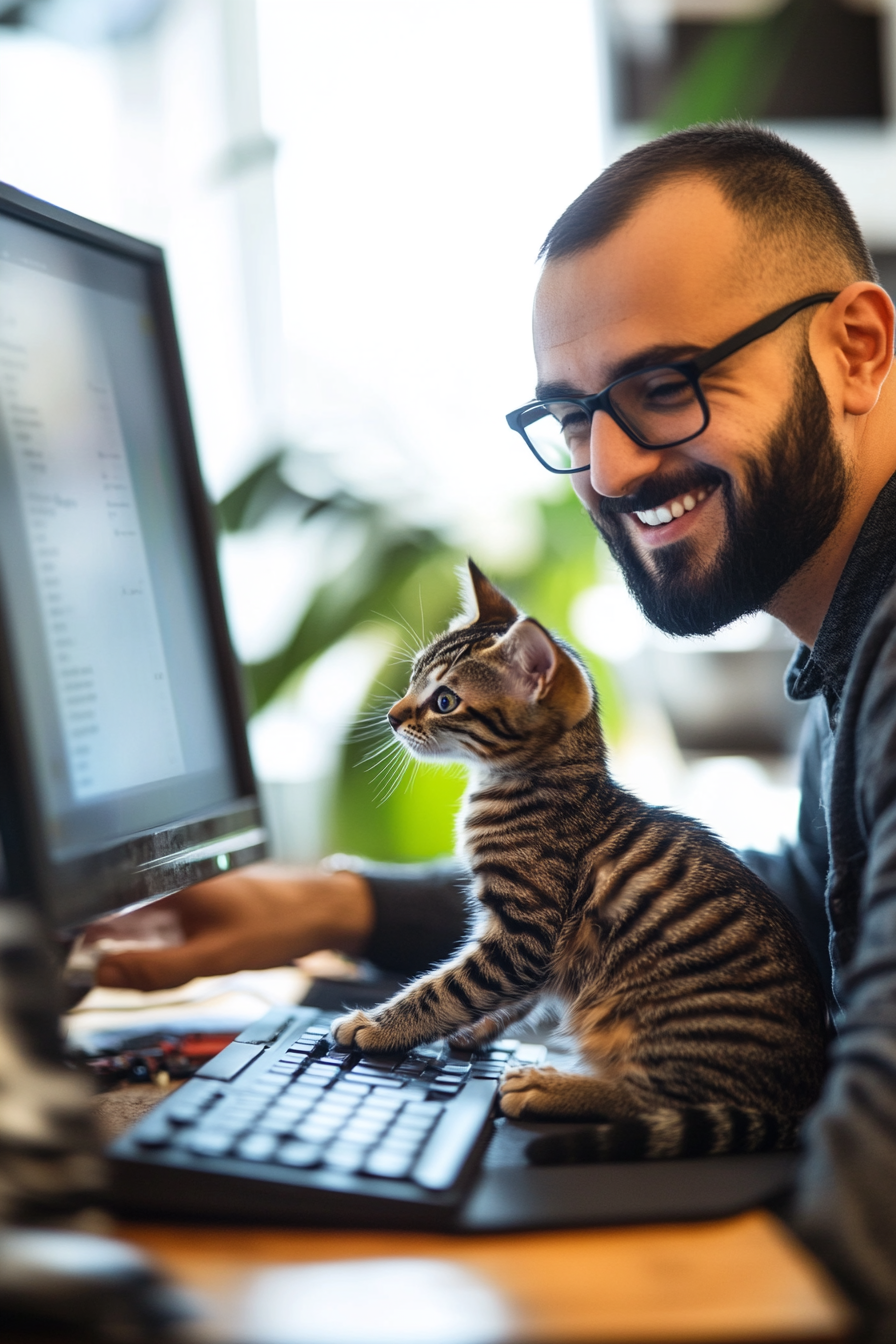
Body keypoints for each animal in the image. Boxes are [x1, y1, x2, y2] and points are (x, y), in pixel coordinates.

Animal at [334, 561, 827, 1161]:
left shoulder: (523, 932)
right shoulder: (529, 949)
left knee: (653, 1103)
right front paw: (479, 1032)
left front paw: (381, 1027)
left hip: (661, 1019)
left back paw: (548, 1087)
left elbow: (450, 987)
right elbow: (512, 997)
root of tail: (805, 1098)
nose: (391, 715)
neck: (537, 781)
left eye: (445, 700)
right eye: (411, 678)